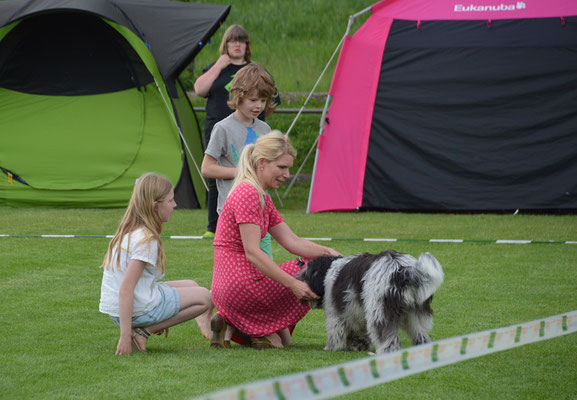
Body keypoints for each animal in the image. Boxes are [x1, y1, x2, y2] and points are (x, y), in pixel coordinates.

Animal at [294, 250, 444, 354]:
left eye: (305, 272)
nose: (296, 278)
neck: (329, 271)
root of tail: (402, 271)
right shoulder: (355, 312)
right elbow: (359, 331)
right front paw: (358, 345)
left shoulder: (335, 313)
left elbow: (335, 331)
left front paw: (331, 347)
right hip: (415, 312)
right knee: (420, 334)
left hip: (380, 310)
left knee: (388, 337)